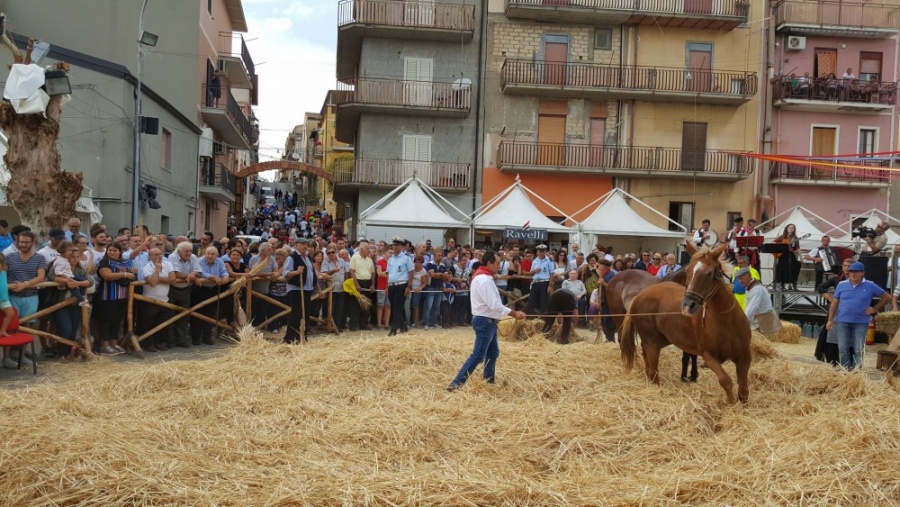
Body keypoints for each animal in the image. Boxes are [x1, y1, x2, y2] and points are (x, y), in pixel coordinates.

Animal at [620, 244, 752, 406]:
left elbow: (744, 389)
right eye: (687, 271)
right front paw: (730, 402)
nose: (687, 305)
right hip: (652, 343)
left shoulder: (744, 355)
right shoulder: (708, 355)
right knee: (653, 370)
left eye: (709, 273)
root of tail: (639, 295)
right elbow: (725, 380)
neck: (726, 320)